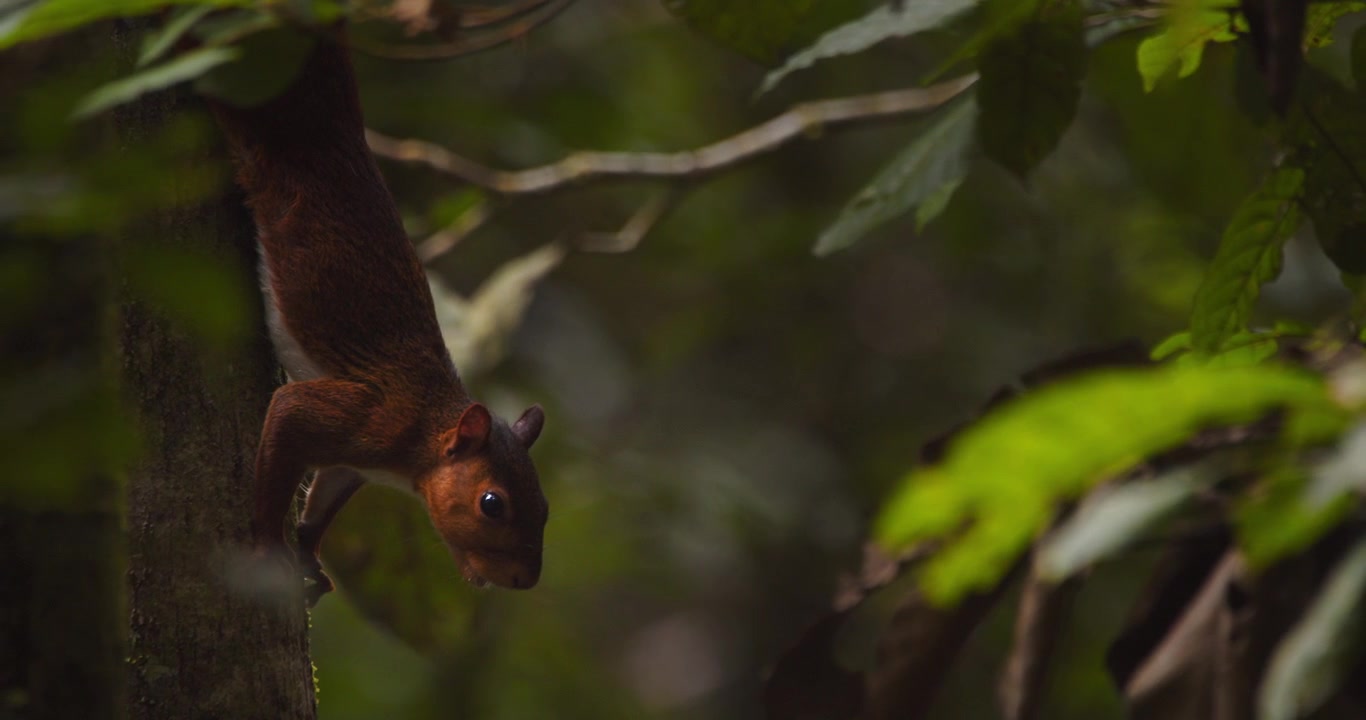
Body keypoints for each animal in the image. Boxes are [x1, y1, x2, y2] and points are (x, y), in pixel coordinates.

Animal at [208, 34, 548, 605]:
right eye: (492, 503)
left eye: (543, 508)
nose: (525, 580)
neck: (422, 438)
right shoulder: (369, 414)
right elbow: (287, 418)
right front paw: (268, 546)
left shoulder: (351, 465)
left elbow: (322, 503)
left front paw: (309, 556)